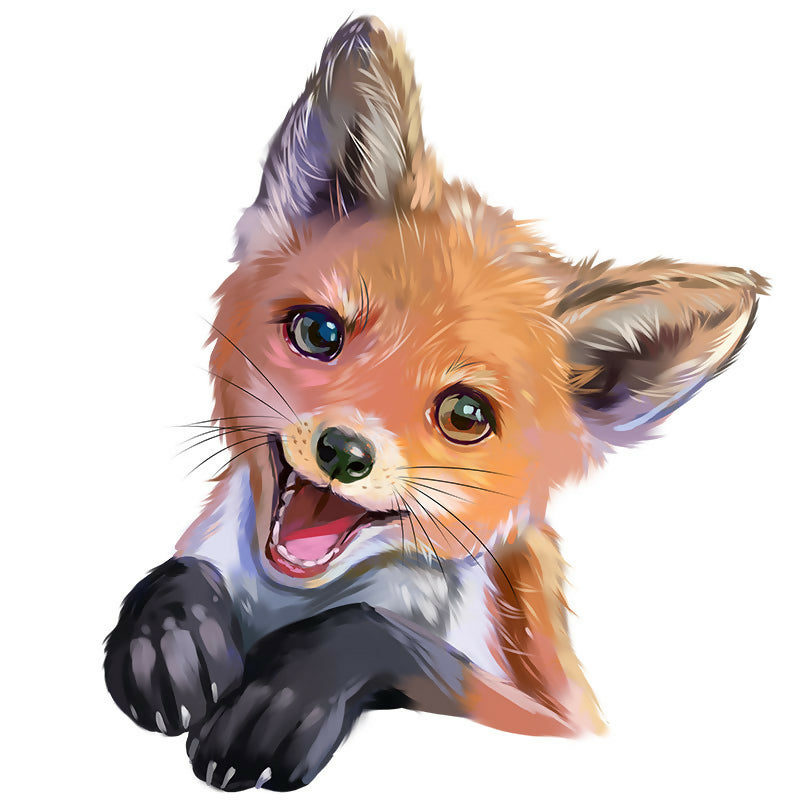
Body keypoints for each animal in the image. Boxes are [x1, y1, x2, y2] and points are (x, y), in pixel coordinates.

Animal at [103, 15, 768, 792]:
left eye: (465, 416)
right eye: (319, 333)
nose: (343, 451)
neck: (284, 605)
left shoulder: (547, 716)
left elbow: (391, 638)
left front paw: (287, 694)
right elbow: (186, 569)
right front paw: (170, 631)